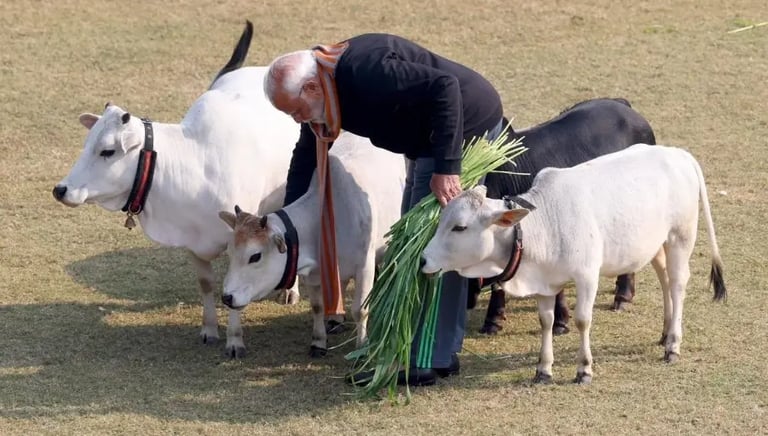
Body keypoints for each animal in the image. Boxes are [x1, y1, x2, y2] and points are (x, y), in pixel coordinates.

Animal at [51, 22, 301, 358]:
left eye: (107, 151)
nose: (61, 189)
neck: (194, 164)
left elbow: (236, 289)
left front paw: (235, 340)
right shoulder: (192, 244)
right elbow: (207, 284)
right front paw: (209, 330)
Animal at [218, 134, 406, 357]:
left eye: (255, 256)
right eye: (230, 253)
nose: (227, 297)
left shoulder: (364, 267)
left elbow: (360, 309)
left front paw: (361, 347)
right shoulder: (315, 274)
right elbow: (317, 306)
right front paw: (318, 342)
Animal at [422, 144, 727, 384]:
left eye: (459, 227)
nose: (424, 258)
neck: (543, 223)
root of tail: (679, 154)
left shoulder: (587, 276)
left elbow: (582, 320)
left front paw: (584, 369)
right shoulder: (544, 283)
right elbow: (546, 321)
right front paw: (543, 369)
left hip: (680, 238)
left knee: (677, 284)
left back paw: (673, 344)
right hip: (656, 245)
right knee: (665, 279)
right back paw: (664, 333)